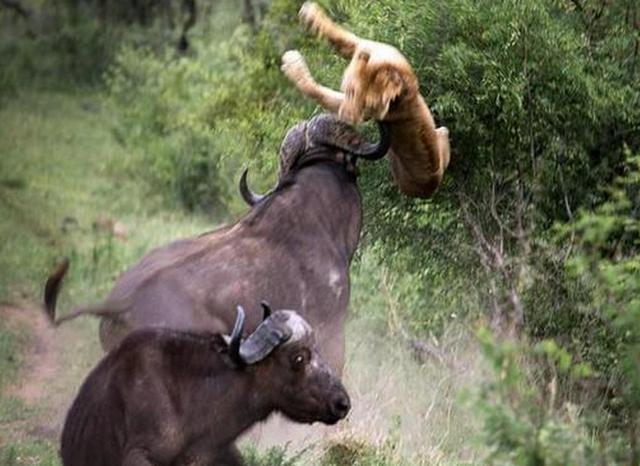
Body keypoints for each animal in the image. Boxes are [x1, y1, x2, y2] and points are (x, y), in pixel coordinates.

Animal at [280, 0, 450, 197]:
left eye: (369, 106)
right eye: (351, 91)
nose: (347, 118)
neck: (388, 68)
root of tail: (432, 186)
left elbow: (317, 91)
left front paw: (292, 65)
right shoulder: (366, 46)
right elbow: (340, 37)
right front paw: (310, 15)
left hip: (440, 136)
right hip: (442, 132)